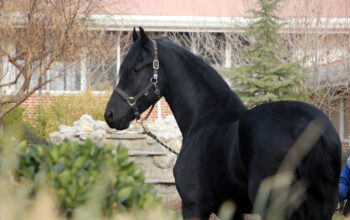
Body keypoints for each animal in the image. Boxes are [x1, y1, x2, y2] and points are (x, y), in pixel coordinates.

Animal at [104, 27, 342, 220]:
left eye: (136, 68)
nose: (110, 114)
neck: (205, 116)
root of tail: (308, 128)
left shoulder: (193, 207)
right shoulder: (233, 210)